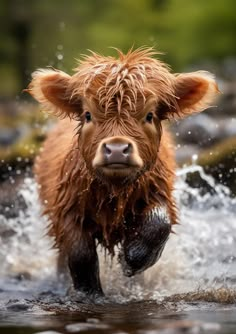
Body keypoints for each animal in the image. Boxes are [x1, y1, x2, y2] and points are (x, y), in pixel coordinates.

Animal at [28, 47, 219, 300]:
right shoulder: (65, 209)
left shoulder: (159, 191)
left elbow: (159, 223)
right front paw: (89, 294)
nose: (117, 148)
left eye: (149, 115)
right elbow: (80, 253)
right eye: (88, 114)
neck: (115, 193)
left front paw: (131, 260)